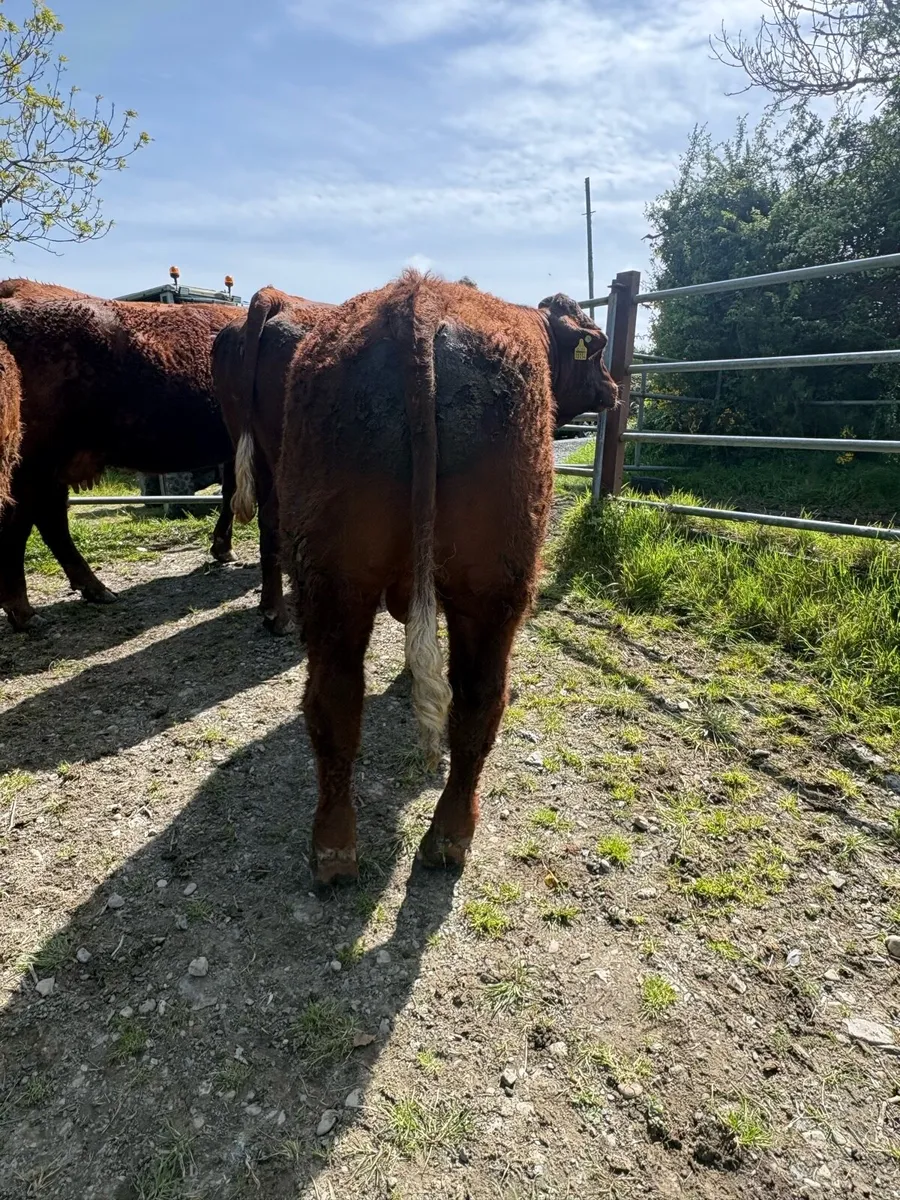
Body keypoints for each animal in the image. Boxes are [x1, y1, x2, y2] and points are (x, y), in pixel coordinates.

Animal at [0, 293, 243, 630]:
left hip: (50, 471)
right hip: (29, 468)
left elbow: (230, 493)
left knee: (51, 522)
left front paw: (223, 549)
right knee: (21, 526)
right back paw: (24, 612)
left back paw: (95, 589)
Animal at [278, 269, 618, 886]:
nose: (613, 387)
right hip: (496, 588)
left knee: (335, 701)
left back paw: (337, 849)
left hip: (334, 582)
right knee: (480, 701)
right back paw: (451, 835)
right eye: (598, 346)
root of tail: (419, 297)